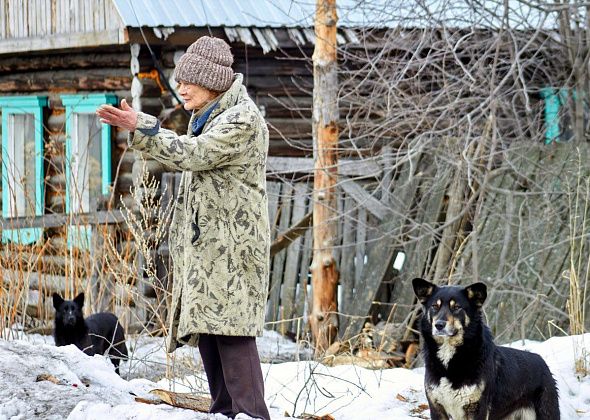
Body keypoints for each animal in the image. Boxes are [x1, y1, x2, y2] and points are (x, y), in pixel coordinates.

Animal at [412, 278, 560, 420]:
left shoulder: (477, 409)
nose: (439, 325)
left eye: (457, 307)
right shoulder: (437, 408)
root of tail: (542, 361)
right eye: (434, 306)